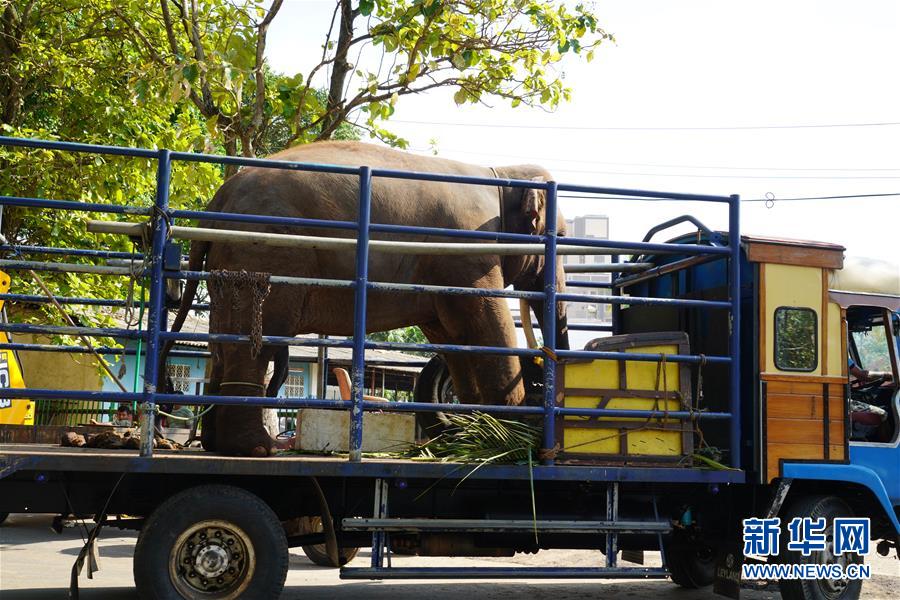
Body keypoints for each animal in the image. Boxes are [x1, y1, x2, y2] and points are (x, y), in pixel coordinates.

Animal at [163, 141, 568, 458]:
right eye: (562, 238)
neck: (502, 175)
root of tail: (218, 200)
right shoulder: (470, 253)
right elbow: (486, 323)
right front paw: (511, 442)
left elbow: (453, 338)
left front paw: (472, 435)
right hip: (264, 252)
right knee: (252, 345)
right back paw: (255, 449)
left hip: (231, 261)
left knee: (221, 342)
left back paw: (219, 444)